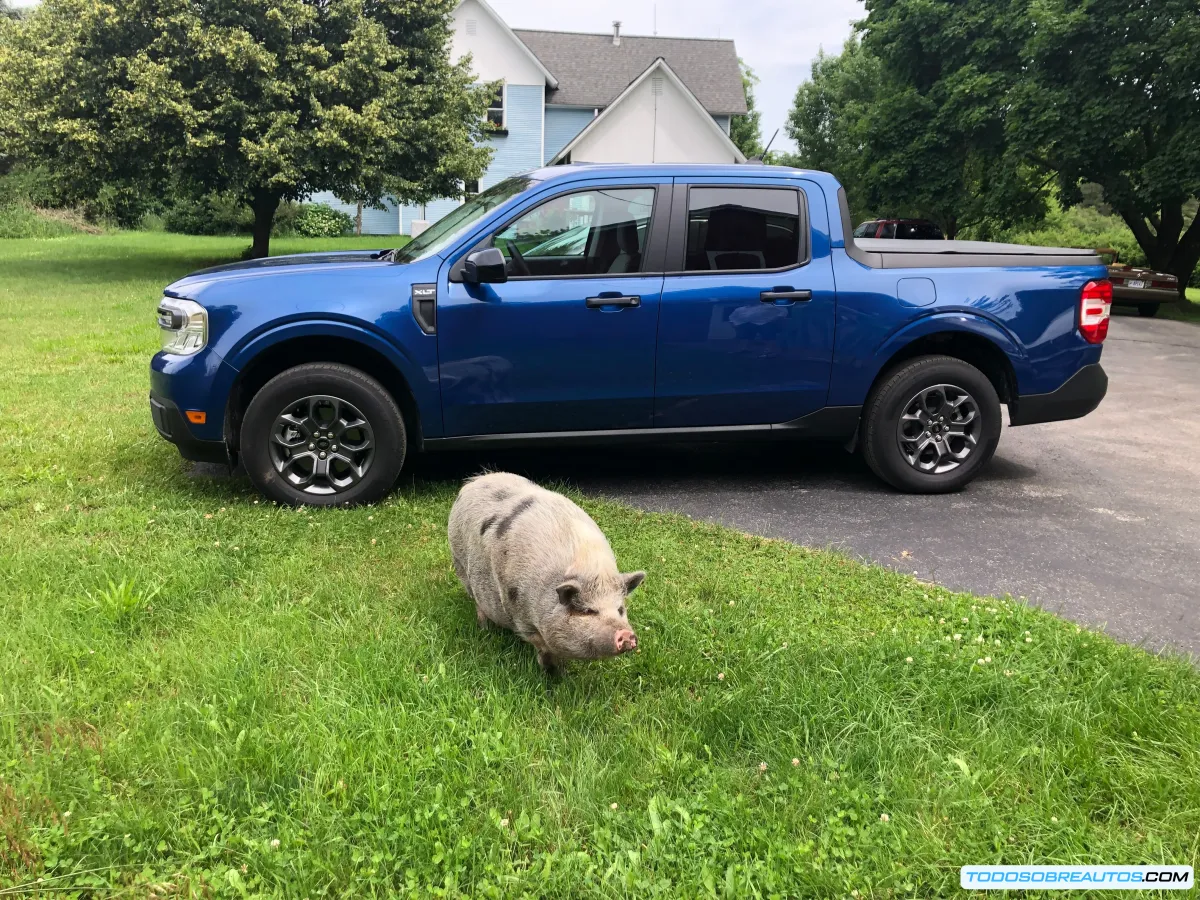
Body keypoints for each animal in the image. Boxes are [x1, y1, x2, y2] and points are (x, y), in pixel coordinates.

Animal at [446, 475, 643, 672]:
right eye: (588, 611)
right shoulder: (522, 617)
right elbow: (543, 647)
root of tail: (474, 481)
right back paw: (485, 629)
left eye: (620, 609)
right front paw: (554, 672)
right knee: (476, 601)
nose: (626, 634)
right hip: (459, 561)